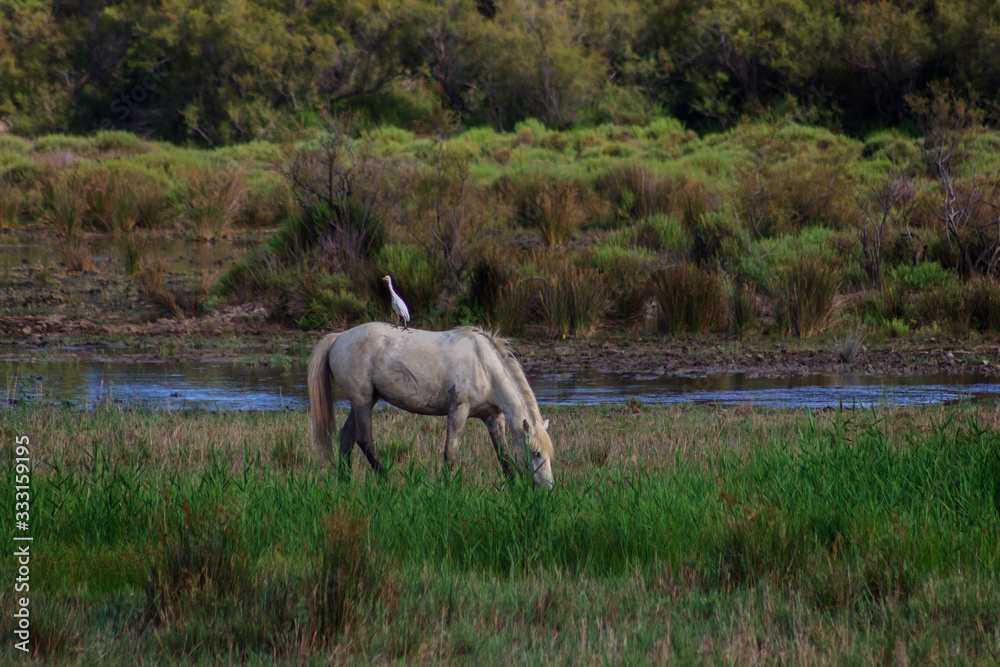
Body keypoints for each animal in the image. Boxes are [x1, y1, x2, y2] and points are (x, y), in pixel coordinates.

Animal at [307, 322, 554, 488]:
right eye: (536, 453)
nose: (548, 489)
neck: (484, 366)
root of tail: (340, 337)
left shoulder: (493, 417)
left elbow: (502, 455)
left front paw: (514, 489)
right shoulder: (459, 411)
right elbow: (450, 452)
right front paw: (444, 488)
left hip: (362, 401)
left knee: (346, 438)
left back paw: (344, 484)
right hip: (362, 400)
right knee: (364, 441)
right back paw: (387, 480)